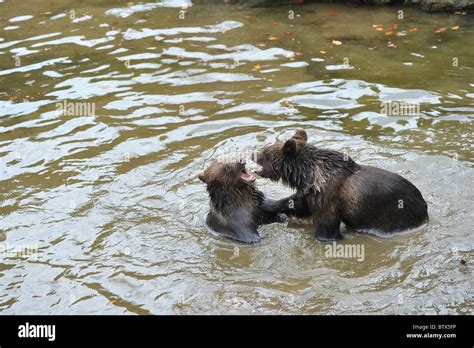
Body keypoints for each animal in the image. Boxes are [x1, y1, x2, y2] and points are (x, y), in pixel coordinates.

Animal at [256, 130, 430, 242]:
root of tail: (424, 209)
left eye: (265, 152)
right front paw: (265, 199)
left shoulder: (328, 197)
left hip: (394, 218)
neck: (308, 175)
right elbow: (298, 204)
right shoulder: (312, 192)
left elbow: (326, 227)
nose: (253, 154)